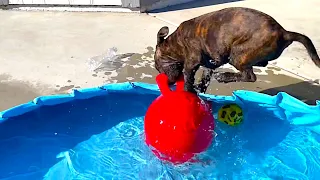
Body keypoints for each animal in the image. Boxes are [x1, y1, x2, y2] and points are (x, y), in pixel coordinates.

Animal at [154, 7, 318, 94]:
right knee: (258, 66)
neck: (174, 43)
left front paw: (189, 90)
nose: (168, 82)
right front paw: (200, 89)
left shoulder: (192, 60)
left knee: (250, 76)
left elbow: (188, 75)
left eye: (157, 66)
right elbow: (206, 74)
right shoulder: (210, 60)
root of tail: (284, 32)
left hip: (238, 54)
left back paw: (224, 76)